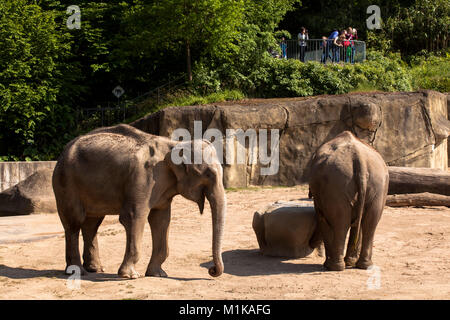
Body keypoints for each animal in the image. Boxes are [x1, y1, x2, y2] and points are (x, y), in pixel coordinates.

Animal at [52, 124, 227, 278]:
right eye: (209, 174)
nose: (212, 270)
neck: (173, 145)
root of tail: (63, 152)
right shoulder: (143, 177)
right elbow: (134, 216)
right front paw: (130, 275)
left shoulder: (161, 189)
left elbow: (161, 220)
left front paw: (158, 274)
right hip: (66, 183)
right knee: (74, 222)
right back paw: (77, 271)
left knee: (92, 223)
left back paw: (96, 269)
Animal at [308, 131, 388, 272]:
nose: (310, 244)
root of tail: (359, 158)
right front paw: (351, 262)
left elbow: (323, 219)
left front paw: (330, 264)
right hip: (378, 184)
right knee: (369, 223)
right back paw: (364, 265)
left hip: (336, 184)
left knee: (341, 222)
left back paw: (334, 267)